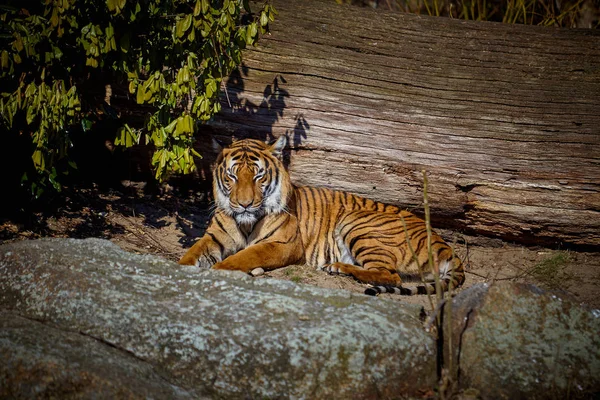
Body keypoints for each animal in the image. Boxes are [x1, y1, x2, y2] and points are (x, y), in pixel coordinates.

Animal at [180, 136, 466, 296]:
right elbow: (191, 254)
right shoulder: (214, 237)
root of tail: (444, 245)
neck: (246, 222)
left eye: (259, 176)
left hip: (357, 222)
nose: (245, 204)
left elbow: (246, 255)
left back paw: (336, 267)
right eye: (232, 176)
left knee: (389, 274)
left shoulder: (284, 244)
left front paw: (219, 269)